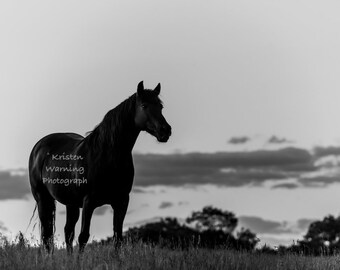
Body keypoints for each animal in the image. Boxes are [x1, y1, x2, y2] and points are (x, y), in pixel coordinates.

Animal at [28, 80, 173, 253]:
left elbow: (118, 238)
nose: (165, 131)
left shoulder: (121, 202)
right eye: (144, 105)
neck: (106, 155)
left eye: (160, 106)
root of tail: (39, 146)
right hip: (43, 199)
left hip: (71, 203)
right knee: (47, 235)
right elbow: (83, 237)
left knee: (67, 231)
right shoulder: (88, 202)